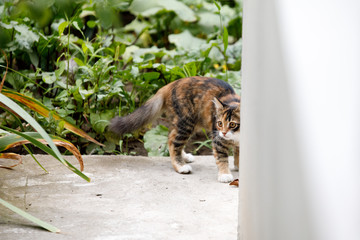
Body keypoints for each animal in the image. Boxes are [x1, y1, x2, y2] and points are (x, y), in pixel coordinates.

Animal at [108, 76, 240, 183]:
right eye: (220, 123)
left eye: (232, 124)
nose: (224, 132)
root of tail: (170, 85)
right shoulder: (218, 138)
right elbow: (222, 157)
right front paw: (225, 174)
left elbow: (238, 153)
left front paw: (238, 166)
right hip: (186, 121)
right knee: (172, 141)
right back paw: (180, 166)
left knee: (175, 139)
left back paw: (184, 157)